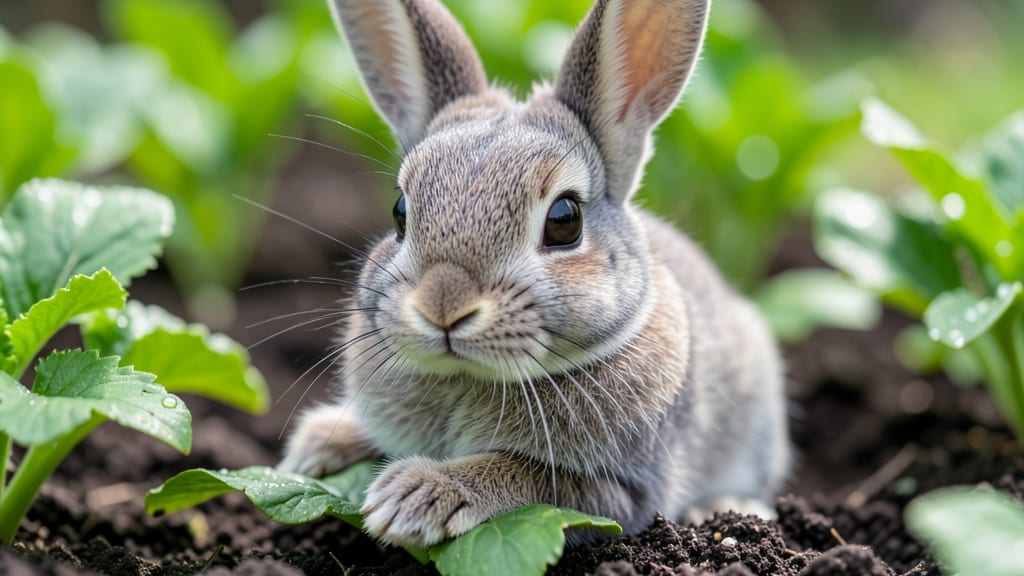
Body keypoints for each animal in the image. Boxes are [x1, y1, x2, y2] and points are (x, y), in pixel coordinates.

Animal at [280, 0, 790, 548]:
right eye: (399, 211)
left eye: (565, 220)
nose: (443, 307)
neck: (469, 378)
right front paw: (314, 448)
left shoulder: (626, 491)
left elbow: (527, 475)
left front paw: (415, 495)